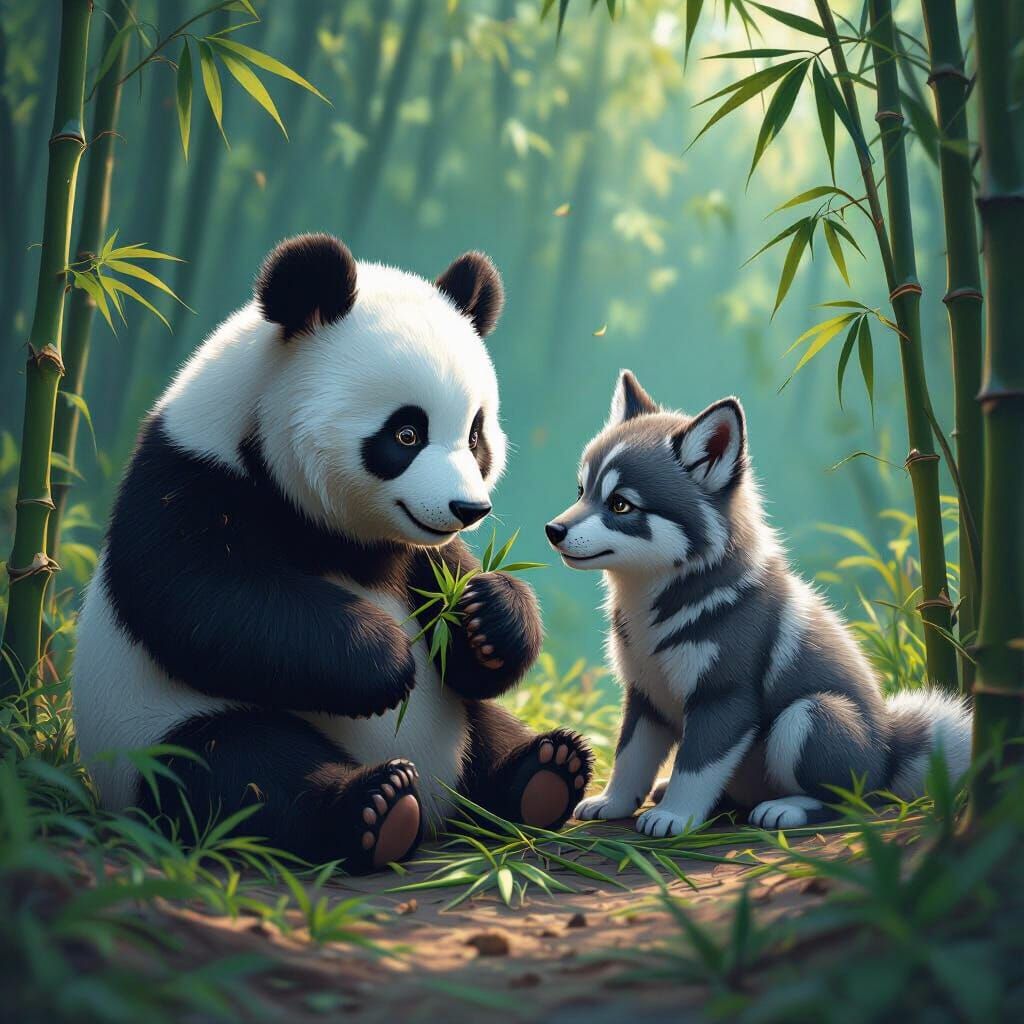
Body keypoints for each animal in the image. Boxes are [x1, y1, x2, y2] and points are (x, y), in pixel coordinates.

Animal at [72, 233, 593, 873]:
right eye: (406, 434)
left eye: (475, 435)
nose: (468, 508)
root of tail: (440, 801)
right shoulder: (191, 476)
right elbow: (203, 597)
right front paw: (383, 659)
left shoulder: (413, 551)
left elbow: (457, 611)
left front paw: (489, 616)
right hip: (155, 731)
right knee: (240, 773)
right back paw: (377, 807)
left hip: (462, 728)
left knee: (487, 727)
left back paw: (546, 771)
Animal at [545, 370, 971, 836]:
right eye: (582, 491)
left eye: (620, 504)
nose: (553, 529)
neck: (656, 604)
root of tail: (891, 752)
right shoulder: (644, 695)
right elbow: (629, 758)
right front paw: (614, 802)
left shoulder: (724, 697)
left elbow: (696, 767)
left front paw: (675, 816)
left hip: (809, 716)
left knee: (851, 800)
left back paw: (786, 809)